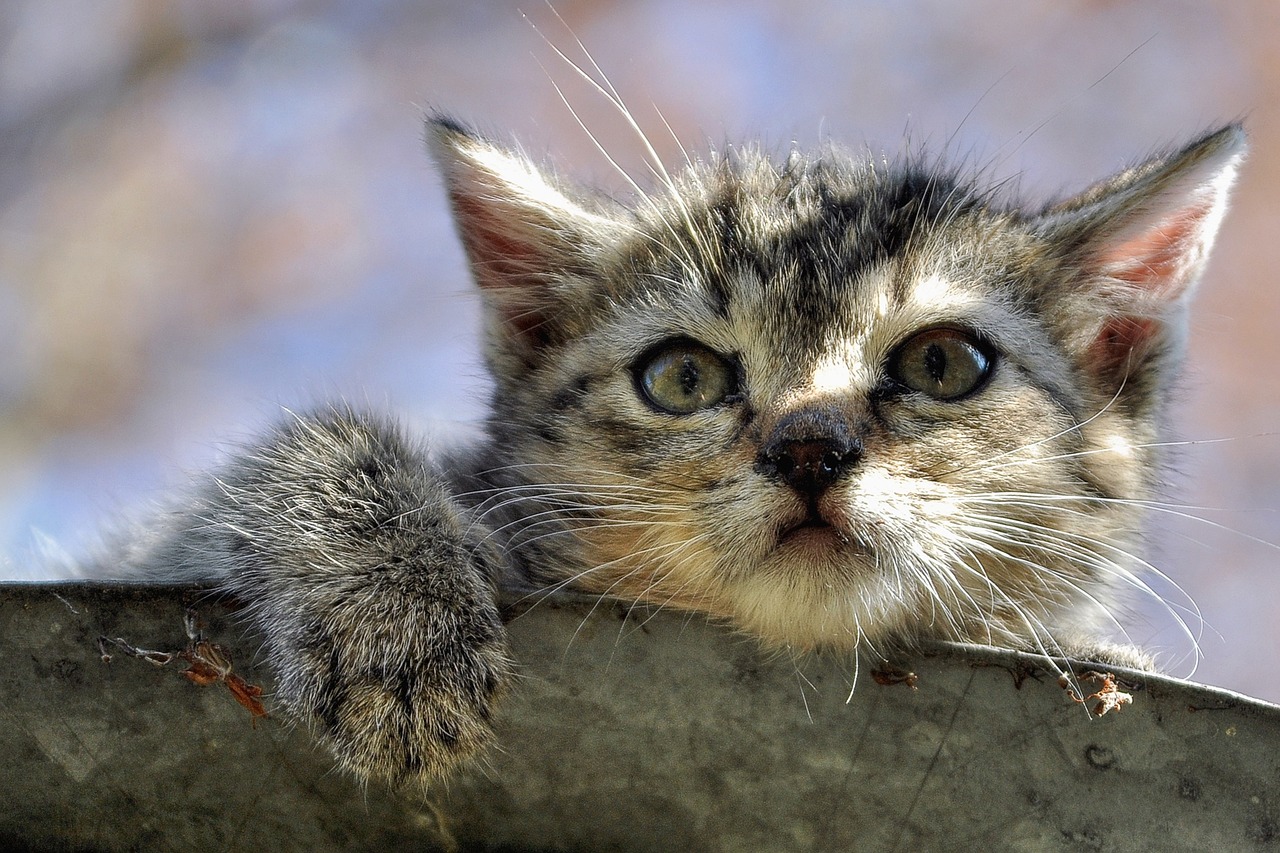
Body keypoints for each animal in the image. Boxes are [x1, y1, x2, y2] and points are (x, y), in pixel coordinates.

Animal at [104, 116, 1244, 788]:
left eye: (941, 362)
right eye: (682, 379)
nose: (809, 446)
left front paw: (1088, 651)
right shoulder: (146, 548)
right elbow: (299, 448)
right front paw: (396, 617)